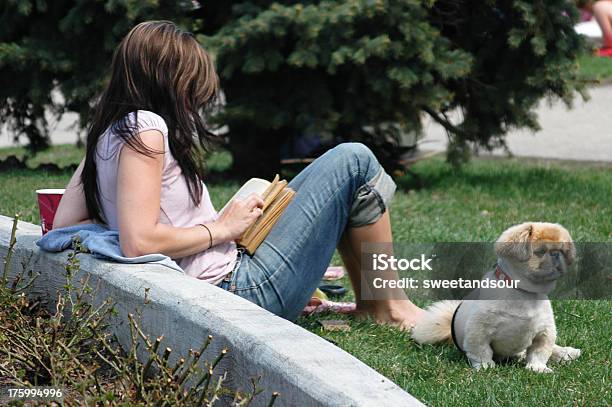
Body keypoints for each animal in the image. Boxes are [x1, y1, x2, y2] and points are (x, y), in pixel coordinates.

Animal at [414, 223, 580, 372]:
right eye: (541, 251)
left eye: (563, 251)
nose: (556, 254)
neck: (523, 292)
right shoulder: (479, 331)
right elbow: (481, 352)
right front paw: (485, 366)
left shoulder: (544, 332)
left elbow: (539, 353)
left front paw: (537, 368)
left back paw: (566, 353)